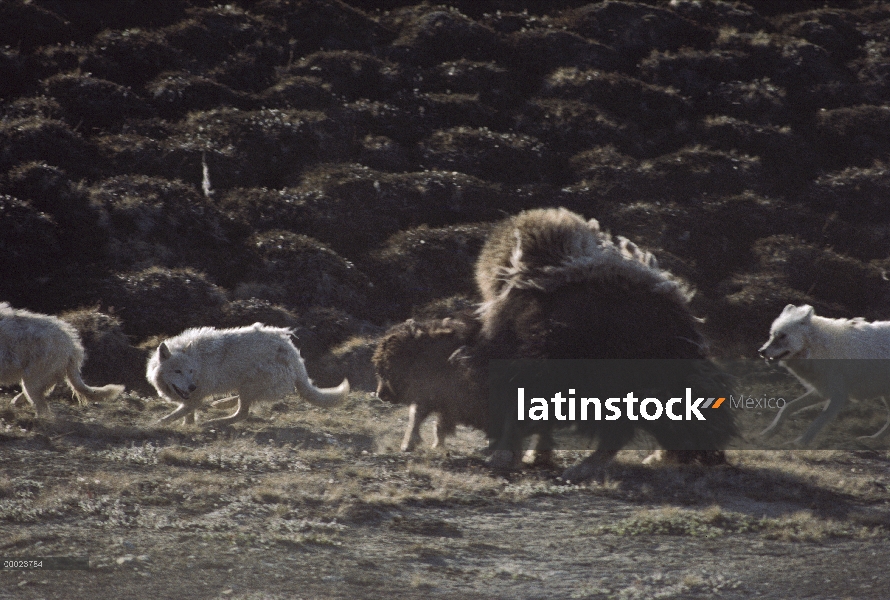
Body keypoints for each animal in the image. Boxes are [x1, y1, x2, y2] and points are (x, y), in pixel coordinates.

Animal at [147, 324, 348, 426]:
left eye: (190, 371)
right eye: (178, 371)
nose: (192, 386)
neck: (199, 362)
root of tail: (294, 355)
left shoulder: (196, 397)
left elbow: (172, 416)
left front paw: (153, 426)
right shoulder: (192, 398)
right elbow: (187, 415)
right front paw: (188, 427)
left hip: (250, 383)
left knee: (242, 413)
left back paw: (215, 421)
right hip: (248, 385)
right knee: (245, 404)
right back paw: (221, 404)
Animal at [756, 304, 888, 446]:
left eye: (782, 336)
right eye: (771, 335)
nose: (761, 351)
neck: (817, 349)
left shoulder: (839, 397)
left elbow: (819, 421)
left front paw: (800, 442)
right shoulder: (821, 391)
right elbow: (787, 407)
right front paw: (768, 432)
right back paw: (873, 439)